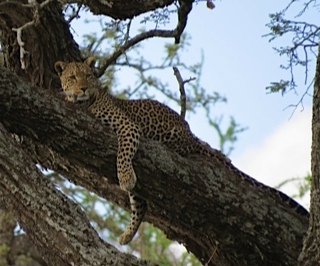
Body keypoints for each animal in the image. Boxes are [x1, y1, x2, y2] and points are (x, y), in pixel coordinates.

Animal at [53, 57, 308, 245]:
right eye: (72, 77)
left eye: (88, 75)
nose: (83, 88)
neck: (85, 103)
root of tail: (189, 132)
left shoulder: (128, 127)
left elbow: (123, 152)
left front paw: (124, 176)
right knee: (141, 203)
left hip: (173, 137)